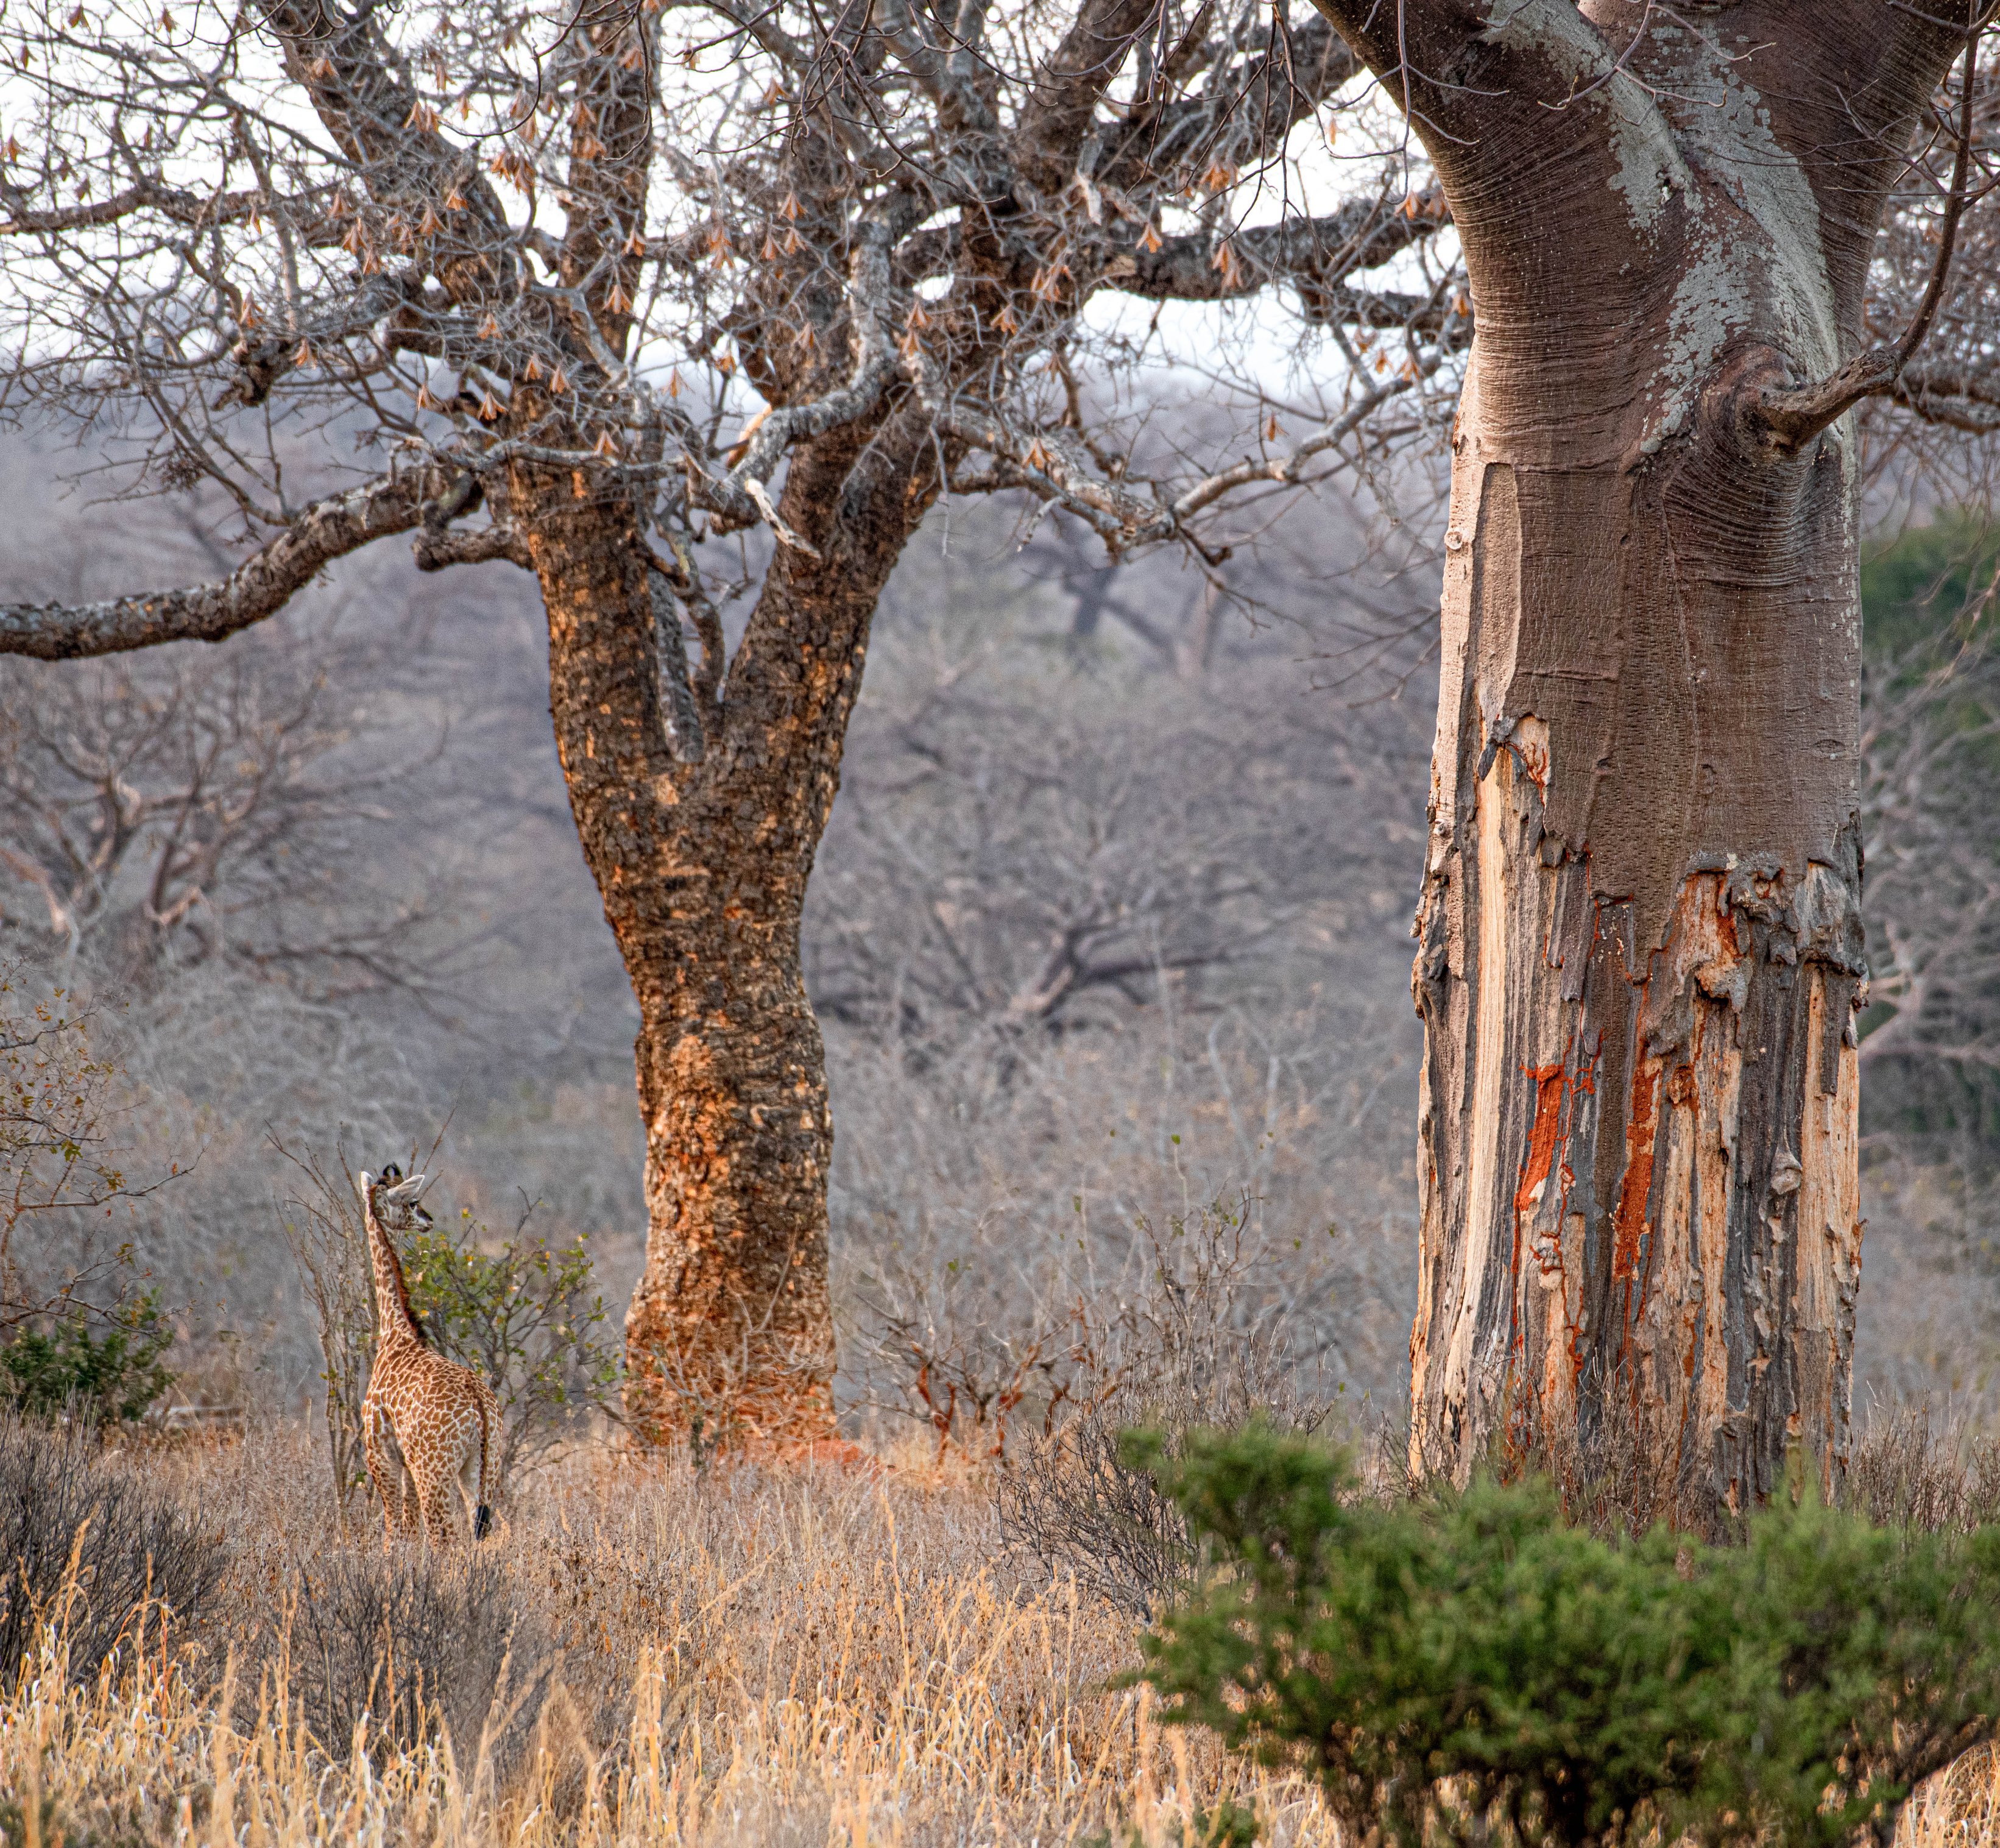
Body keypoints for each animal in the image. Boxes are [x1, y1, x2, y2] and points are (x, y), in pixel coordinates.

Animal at [358, 1164, 502, 1547]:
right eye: (413, 1202)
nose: (428, 1220)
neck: (396, 1331)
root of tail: (481, 1410)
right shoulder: (406, 1466)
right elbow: (408, 1532)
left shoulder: (382, 1457)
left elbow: (394, 1533)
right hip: (482, 1469)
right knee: (481, 1534)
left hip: (434, 1473)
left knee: (446, 1541)